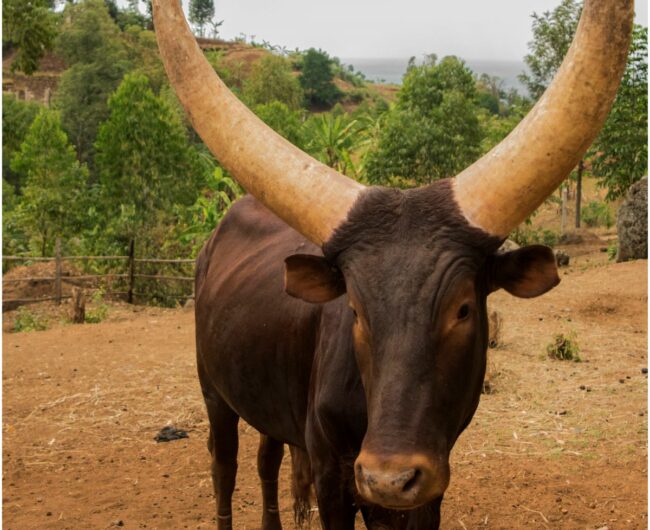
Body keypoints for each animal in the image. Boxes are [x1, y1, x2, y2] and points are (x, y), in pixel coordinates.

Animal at [151, 0, 633, 528]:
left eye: (463, 309)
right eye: (355, 311)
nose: (389, 478)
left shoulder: (428, 487)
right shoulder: (332, 474)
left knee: (266, 459)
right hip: (213, 391)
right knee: (225, 465)